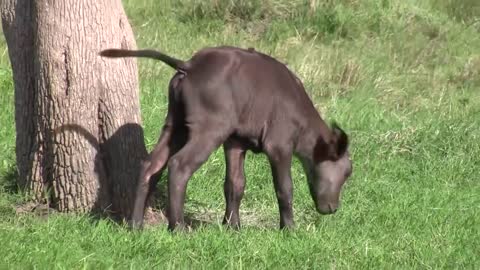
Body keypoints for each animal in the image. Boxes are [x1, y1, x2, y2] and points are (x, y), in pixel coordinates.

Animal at [100, 46, 352, 230]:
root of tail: (191, 65)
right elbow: (284, 188)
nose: (333, 208)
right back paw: (177, 227)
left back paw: (135, 225)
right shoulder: (279, 146)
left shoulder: (235, 143)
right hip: (209, 130)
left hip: (175, 125)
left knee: (151, 165)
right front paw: (289, 228)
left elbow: (235, 183)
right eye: (347, 173)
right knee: (179, 166)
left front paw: (232, 226)